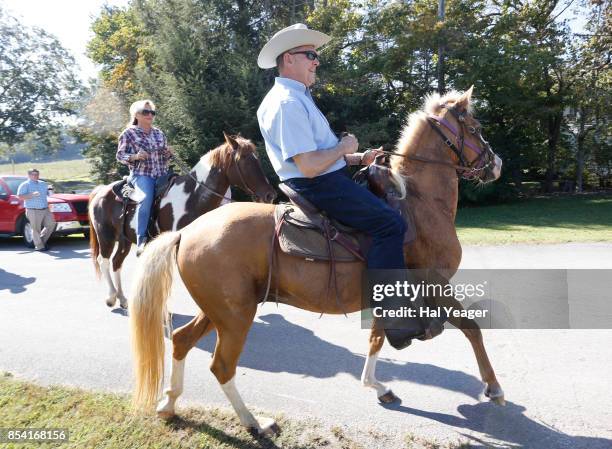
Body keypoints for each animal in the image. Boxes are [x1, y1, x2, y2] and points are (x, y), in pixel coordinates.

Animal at [88, 133, 274, 308]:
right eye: (243, 159)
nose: (269, 194)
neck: (192, 197)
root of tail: (99, 191)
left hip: (124, 239)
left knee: (116, 262)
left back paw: (122, 299)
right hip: (106, 236)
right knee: (104, 261)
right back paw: (111, 297)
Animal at [128, 87, 502, 434]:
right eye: (476, 127)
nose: (496, 163)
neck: (418, 204)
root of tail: (186, 233)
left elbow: (376, 337)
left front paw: (376, 386)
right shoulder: (436, 284)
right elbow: (472, 329)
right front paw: (493, 387)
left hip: (219, 310)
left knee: (181, 340)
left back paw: (169, 404)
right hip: (235, 317)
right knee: (221, 366)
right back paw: (253, 422)